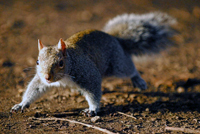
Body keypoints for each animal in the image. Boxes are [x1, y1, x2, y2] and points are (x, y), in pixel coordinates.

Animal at [10, 11, 176, 116]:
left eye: (61, 63)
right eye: (37, 61)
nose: (47, 77)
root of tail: (115, 38)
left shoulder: (88, 73)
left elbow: (94, 91)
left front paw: (92, 109)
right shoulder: (41, 81)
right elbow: (35, 88)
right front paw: (22, 104)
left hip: (118, 65)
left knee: (130, 69)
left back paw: (138, 81)